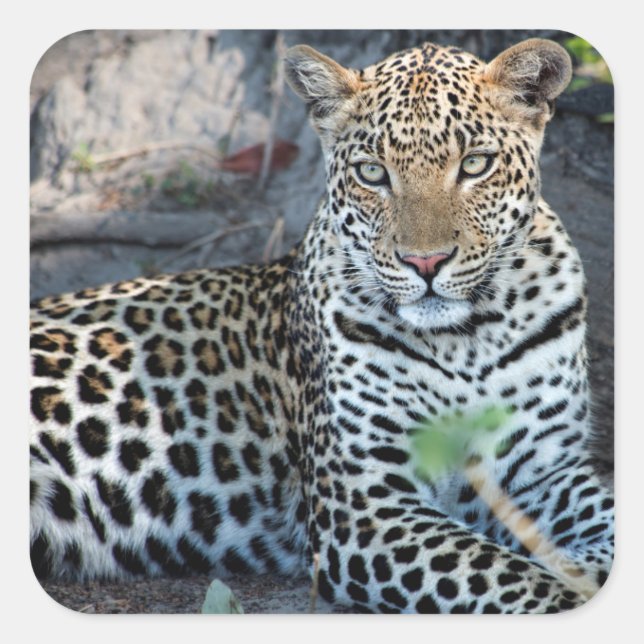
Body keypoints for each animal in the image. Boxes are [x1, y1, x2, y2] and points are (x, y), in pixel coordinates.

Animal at [30, 37, 614, 613]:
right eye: (373, 172)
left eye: (474, 165)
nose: (425, 263)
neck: (465, 341)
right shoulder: (364, 504)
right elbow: (510, 578)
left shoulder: (547, 470)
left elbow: (603, 521)